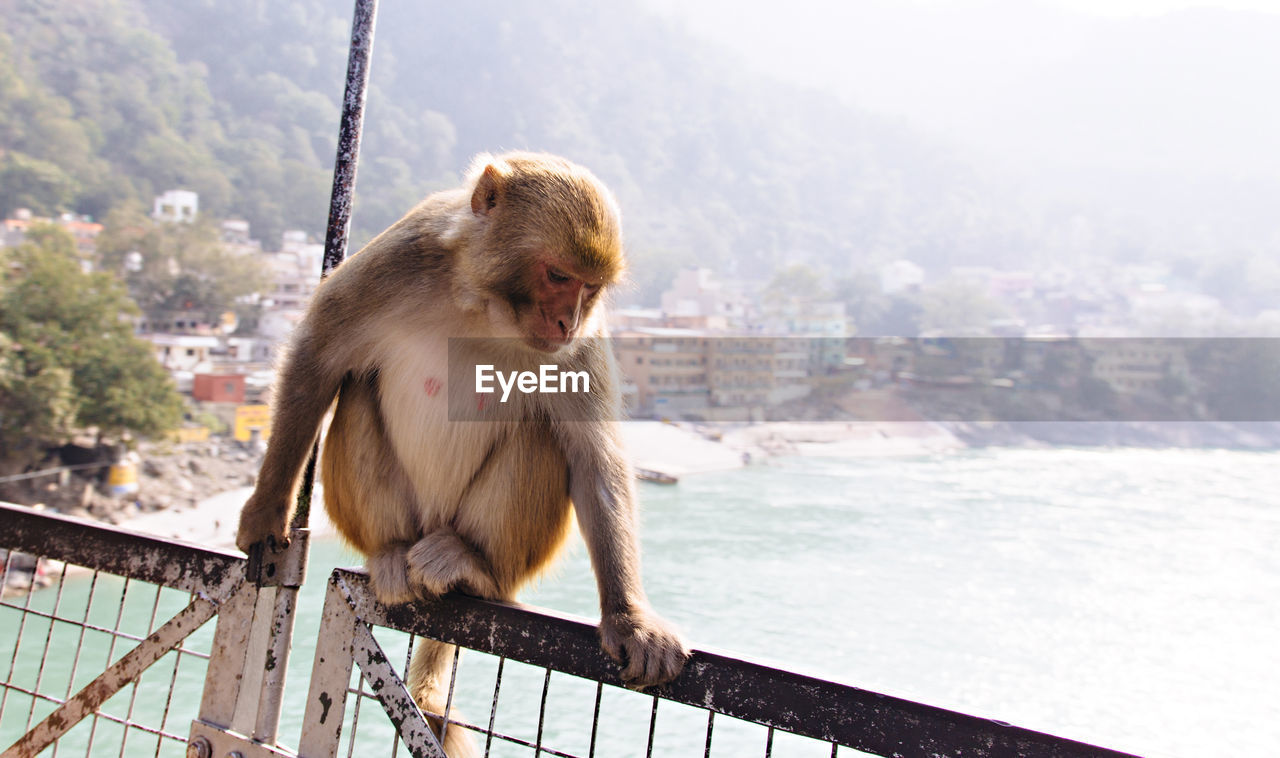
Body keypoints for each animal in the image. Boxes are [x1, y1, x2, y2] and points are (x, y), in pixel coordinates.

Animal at [234, 151, 686, 752]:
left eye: (590, 288)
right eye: (558, 275)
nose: (567, 321)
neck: (482, 306)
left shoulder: (583, 344)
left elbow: (594, 458)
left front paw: (630, 617)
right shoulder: (397, 262)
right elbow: (317, 358)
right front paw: (267, 509)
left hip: (509, 551)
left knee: (539, 435)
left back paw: (474, 569)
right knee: (358, 392)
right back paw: (391, 552)